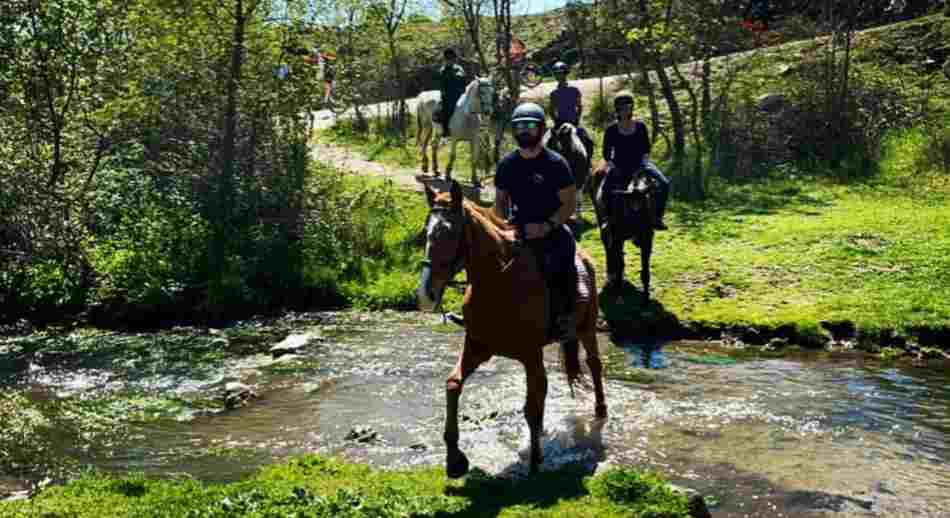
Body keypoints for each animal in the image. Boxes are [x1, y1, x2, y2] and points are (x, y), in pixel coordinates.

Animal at [416, 182, 608, 480]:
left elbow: (532, 407)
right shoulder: (477, 347)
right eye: (426, 232)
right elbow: (453, 384)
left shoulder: (531, 354)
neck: (499, 281)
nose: (426, 294)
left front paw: (535, 462)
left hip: (587, 330)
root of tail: (585, 257)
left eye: (449, 233)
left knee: (594, 365)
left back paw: (600, 410)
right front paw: (455, 459)